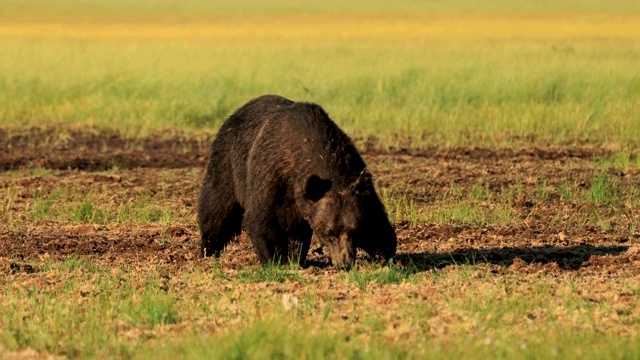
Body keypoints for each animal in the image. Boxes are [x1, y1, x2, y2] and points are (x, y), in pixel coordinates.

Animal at [196, 94, 396, 268]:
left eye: (354, 230)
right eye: (329, 232)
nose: (344, 263)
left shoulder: (354, 172)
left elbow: (376, 219)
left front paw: (385, 254)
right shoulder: (270, 175)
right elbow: (261, 218)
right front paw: (274, 260)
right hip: (227, 162)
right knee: (217, 208)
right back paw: (208, 250)